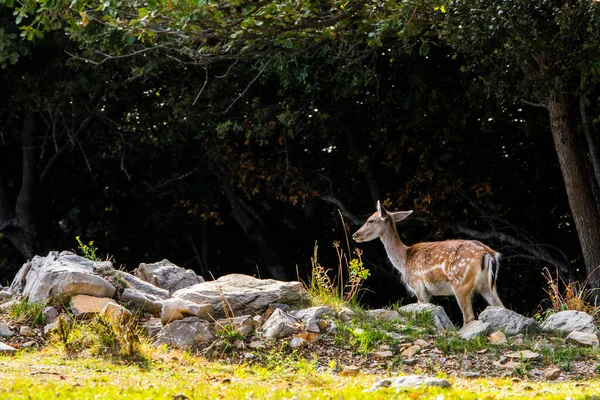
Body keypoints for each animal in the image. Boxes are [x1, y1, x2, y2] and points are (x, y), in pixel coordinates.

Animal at [354, 202, 504, 326]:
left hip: (461, 282)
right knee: (500, 306)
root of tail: (489, 254)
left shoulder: (418, 286)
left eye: (370, 220)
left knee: (469, 316)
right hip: (488, 285)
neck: (403, 260)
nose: (355, 235)